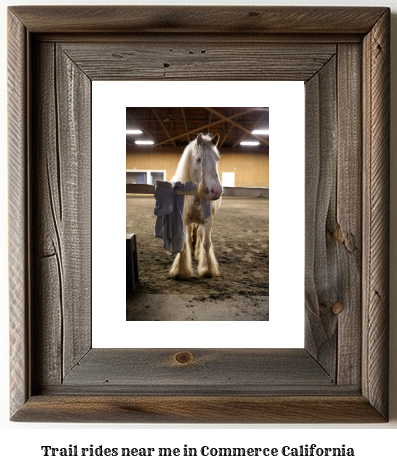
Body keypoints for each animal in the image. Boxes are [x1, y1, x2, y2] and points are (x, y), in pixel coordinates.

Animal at [168, 133, 223, 280]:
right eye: (199, 159)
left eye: (217, 158)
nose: (216, 190)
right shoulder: (183, 222)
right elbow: (183, 243)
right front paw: (181, 271)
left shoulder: (208, 222)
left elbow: (206, 243)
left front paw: (207, 269)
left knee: (199, 235)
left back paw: (197, 252)